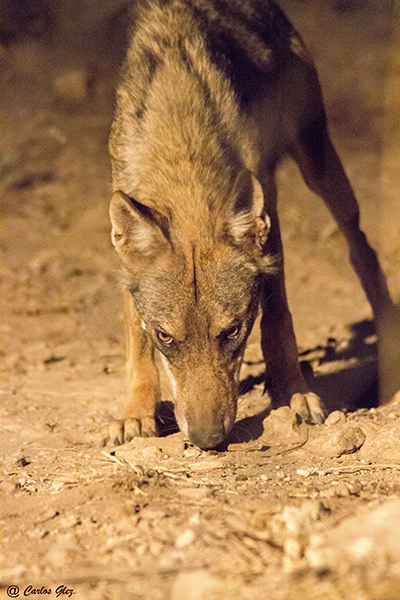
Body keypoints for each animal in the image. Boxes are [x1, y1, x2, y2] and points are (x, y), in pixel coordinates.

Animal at [104, 0, 398, 448]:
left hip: (320, 168)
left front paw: (292, 394)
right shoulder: (126, 256)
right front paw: (135, 413)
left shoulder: (268, 217)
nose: (207, 439)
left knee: (361, 249)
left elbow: (278, 320)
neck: (182, 152)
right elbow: (135, 343)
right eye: (166, 337)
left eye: (232, 331)